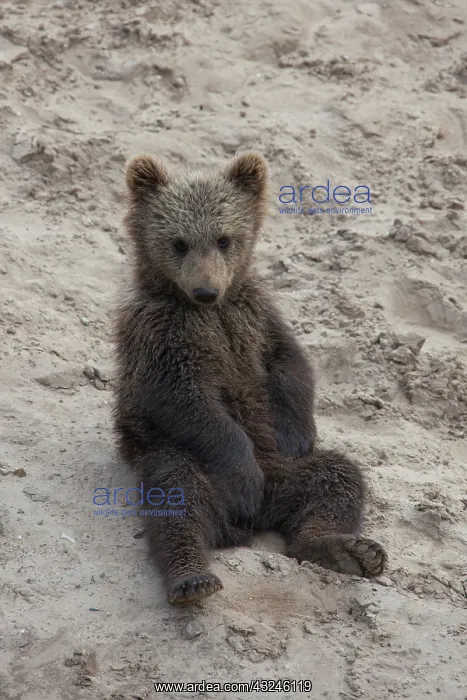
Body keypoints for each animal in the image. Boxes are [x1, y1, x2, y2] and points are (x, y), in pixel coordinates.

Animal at [113, 152, 387, 606]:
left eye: (224, 239)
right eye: (179, 242)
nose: (206, 291)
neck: (209, 312)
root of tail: (257, 520)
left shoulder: (255, 315)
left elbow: (288, 363)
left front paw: (296, 434)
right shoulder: (161, 333)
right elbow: (184, 399)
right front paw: (242, 476)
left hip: (286, 474)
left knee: (337, 479)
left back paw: (345, 549)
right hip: (171, 455)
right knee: (179, 497)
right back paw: (193, 576)